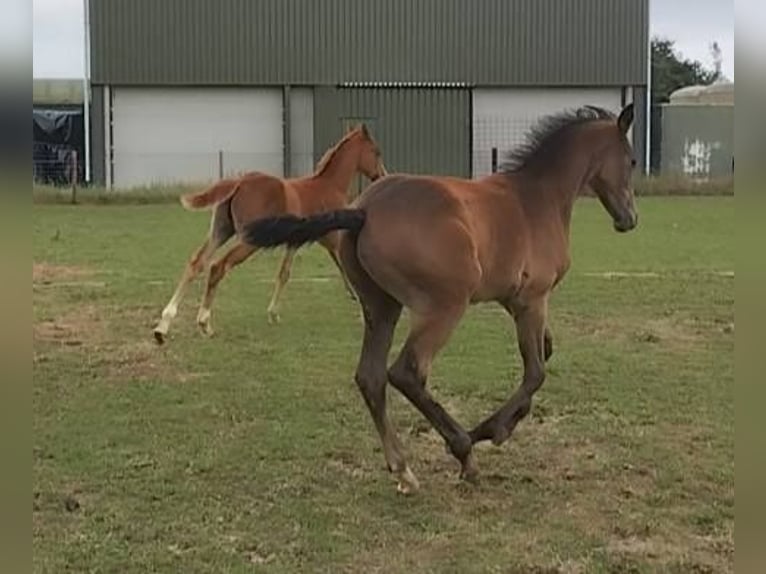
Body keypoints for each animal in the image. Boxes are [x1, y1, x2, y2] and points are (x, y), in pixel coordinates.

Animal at [152, 124, 386, 344]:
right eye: (376, 151)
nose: (381, 176)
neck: (329, 186)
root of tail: (239, 182)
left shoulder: (295, 242)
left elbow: (284, 274)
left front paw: (273, 314)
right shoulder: (333, 240)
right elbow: (347, 271)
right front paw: (364, 312)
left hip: (221, 231)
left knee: (196, 262)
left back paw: (163, 326)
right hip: (249, 240)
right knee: (218, 266)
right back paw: (204, 323)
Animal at [240, 104, 638, 493]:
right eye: (632, 160)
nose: (630, 219)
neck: (538, 197)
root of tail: (363, 211)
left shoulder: (514, 300)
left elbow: (546, 353)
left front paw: (502, 426)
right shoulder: (533, 299)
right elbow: (536, 371)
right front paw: (490, 431)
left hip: (381, 307)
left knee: (371, 377)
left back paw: (403, 470)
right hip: (444, 307)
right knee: (407, 372)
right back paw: (463, 451)